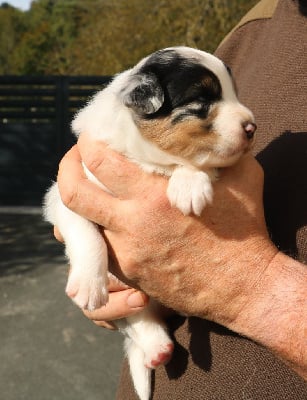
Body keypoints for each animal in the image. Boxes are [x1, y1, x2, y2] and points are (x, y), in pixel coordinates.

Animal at [43, 47, 258, 400]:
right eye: (202, 98)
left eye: (234, 93)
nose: (252, 127)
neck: (146, 160)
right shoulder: (65, 196)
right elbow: (87, 234)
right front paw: (89, 284)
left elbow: (196, 163)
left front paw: (188, 186)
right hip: (133, 301)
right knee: (137, 321)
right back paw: (157, 348)